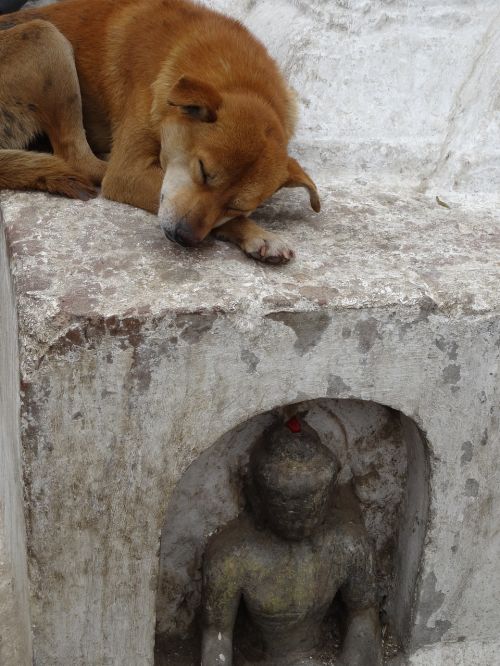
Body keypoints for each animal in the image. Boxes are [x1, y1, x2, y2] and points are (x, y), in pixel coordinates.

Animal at [0, 0, 320, 260]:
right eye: (203, 171)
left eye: (236, 206)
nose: (184, 237)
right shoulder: (128, 172)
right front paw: (259, 233)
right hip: (45, 37)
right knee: (77, 159)